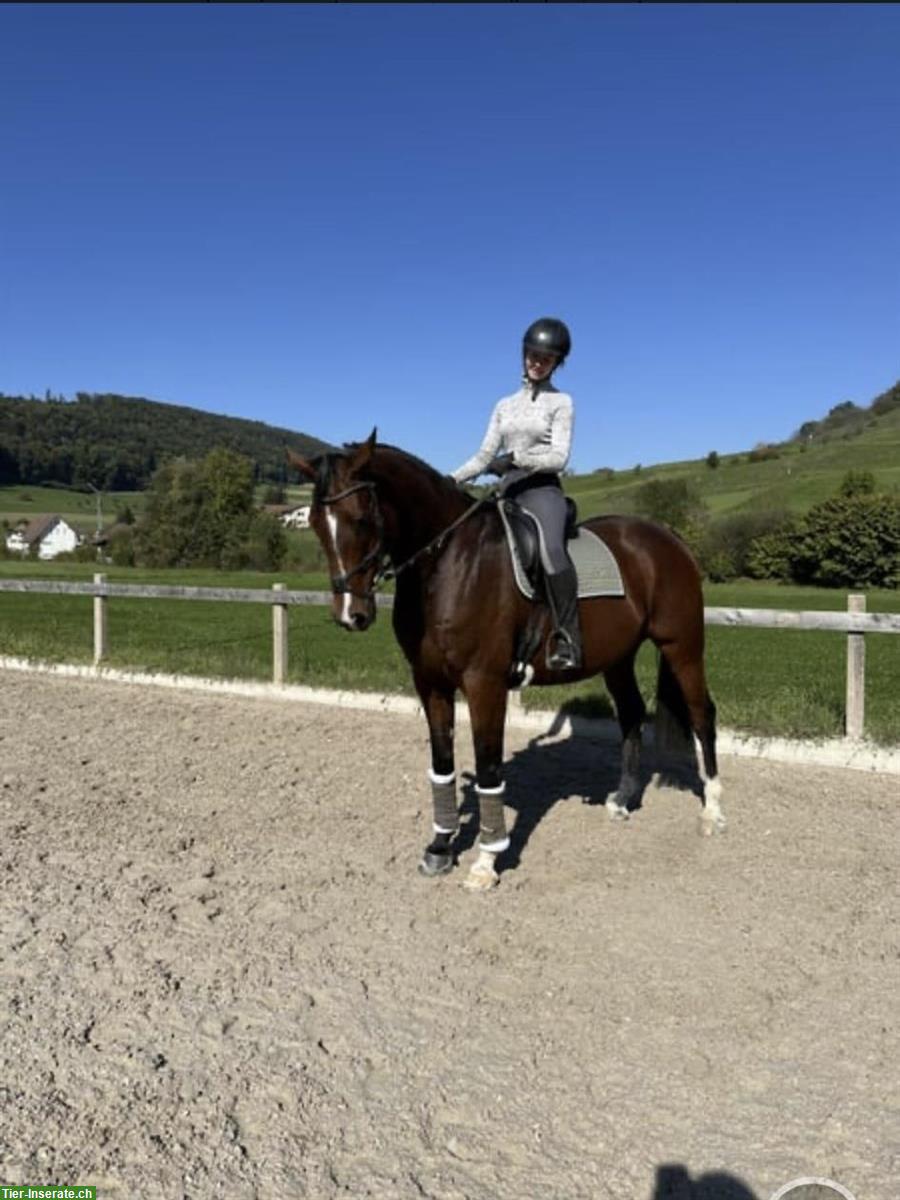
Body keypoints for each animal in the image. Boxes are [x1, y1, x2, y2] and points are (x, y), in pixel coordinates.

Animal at [287, 430, 724, 891]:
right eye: (315, 522)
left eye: (361, 519)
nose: (351, 615)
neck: (446, 564)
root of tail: (666, 537)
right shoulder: (430, 683)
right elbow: (442, 763)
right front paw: (440, 848)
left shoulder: (485, 684)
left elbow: (488, 768)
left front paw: (485, 861)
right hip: (618, 657)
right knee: (631, 714)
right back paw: (622, 800)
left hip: (682, 645)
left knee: (701, 714)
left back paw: (712, 812)